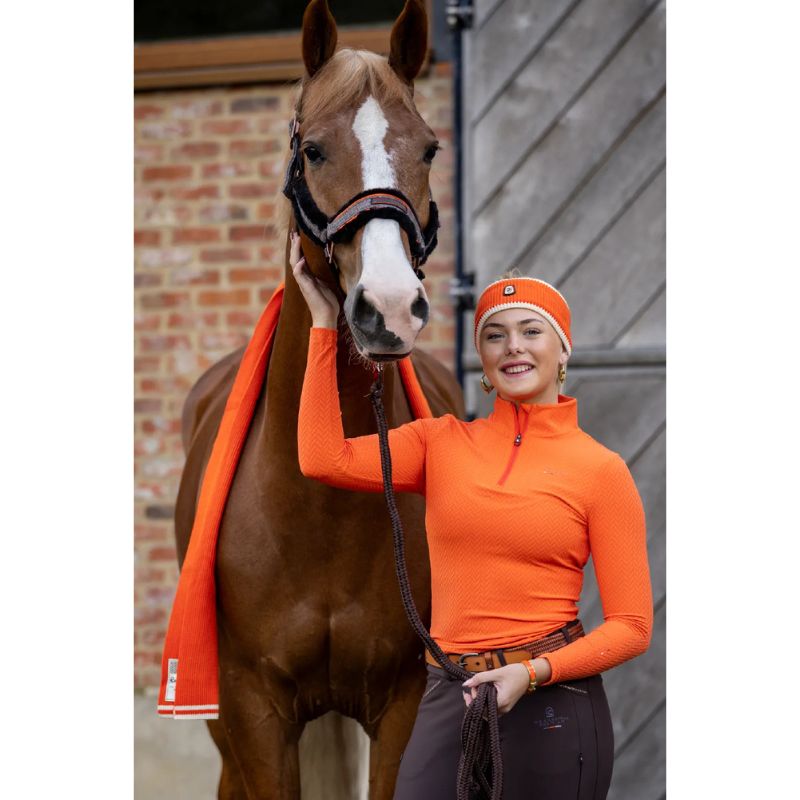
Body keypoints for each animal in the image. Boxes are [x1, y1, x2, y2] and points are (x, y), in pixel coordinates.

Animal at [172, 1, 465, 797]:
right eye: (313, 152)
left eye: (429, 150)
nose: (389, 309)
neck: (319, 511)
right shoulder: (252, 712)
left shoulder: (403, 702)